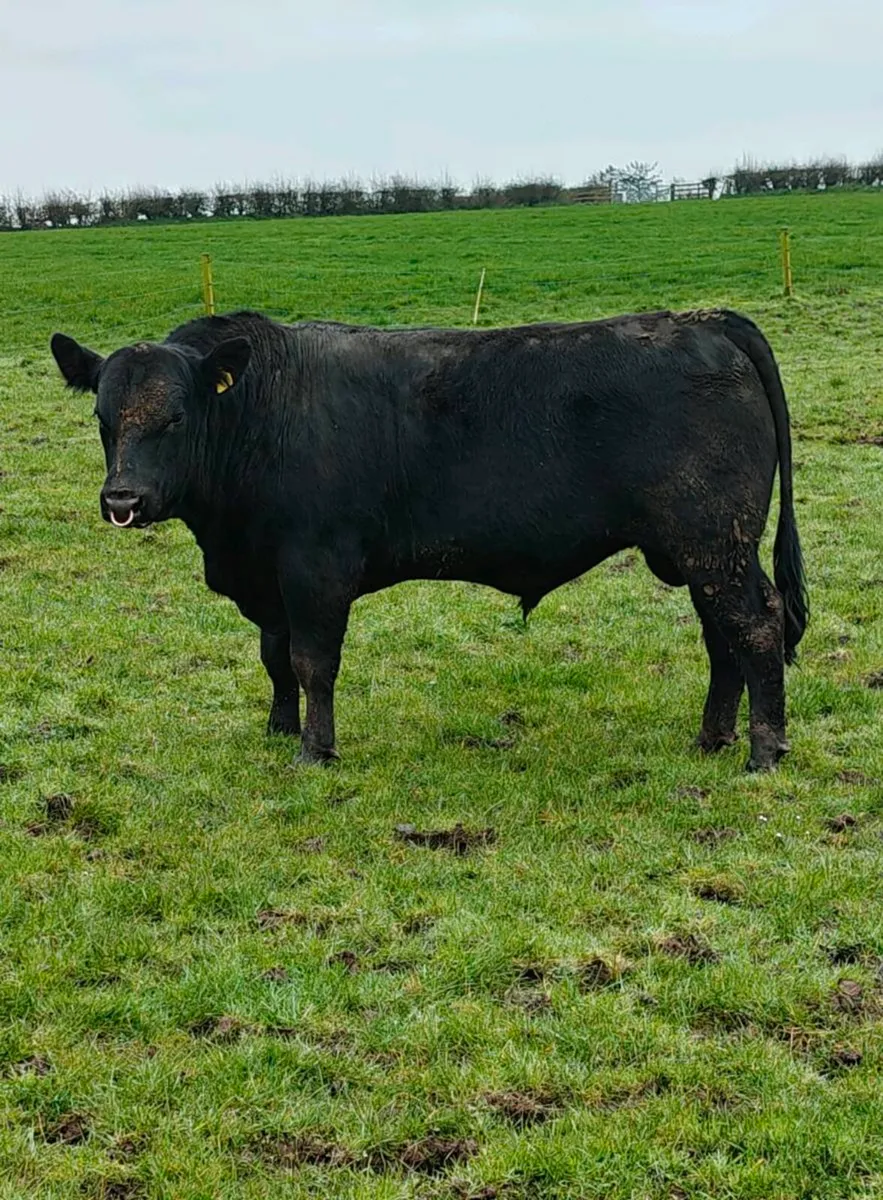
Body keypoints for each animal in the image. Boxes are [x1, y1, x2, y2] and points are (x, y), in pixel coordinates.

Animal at [50, 307, 807, 771]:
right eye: (102, 417)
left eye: (176, 417)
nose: (122, 500)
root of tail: (703, 320)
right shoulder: (270, 577)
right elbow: (273, 658)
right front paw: (278, 729)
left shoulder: (316, 570)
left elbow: (310, 662)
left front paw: (315, 750)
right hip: (699, 550)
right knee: (721, 636)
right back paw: (712, 737)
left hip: (714, 542)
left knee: (756, 626)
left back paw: (763, 750)